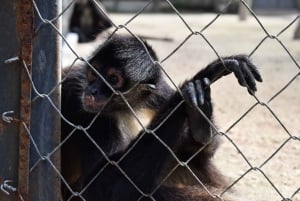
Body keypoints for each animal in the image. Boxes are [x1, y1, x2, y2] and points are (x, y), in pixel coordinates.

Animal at [61, 33, 262, 200]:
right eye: (93, 73)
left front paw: (198, 117)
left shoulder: (158, 92)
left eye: (112, 79)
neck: (128, 106)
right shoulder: (83, 105)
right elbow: (100, 186)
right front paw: (199, 80)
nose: (92, 91)